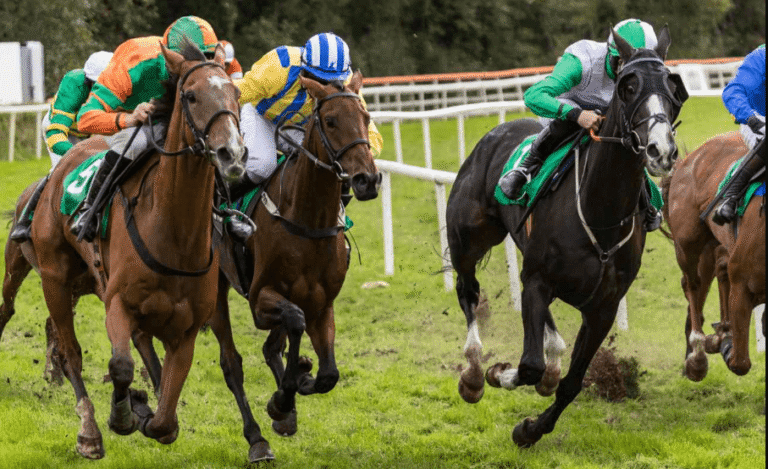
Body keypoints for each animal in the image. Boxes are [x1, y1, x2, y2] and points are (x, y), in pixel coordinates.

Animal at [0, 40, 245, 459]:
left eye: (237, 94)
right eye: (191, 96)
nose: (232, 153)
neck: (174, 232)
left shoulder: (186, 330)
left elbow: (165, 417)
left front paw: (146, 409)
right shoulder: (117, 303)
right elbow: (120, 366)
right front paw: (121, 416)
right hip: (49, 276)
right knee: (62, 345)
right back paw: (89, 430)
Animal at [203, 70, 380, 462]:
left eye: (366, 117)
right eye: (330, 121)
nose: (367, 180)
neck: (307, 220)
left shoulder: (322, 304)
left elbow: (328, 374)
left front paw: (298, 382)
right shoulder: (260, 299)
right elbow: (293, 323)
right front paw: (283, 400)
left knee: (273, 347)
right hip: (215, 289)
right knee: (231, 363)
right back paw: (257, 439)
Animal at [446, 26, 683, 447]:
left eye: (672, 86)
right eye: (628, 86)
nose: (661, 150)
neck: (600, 212)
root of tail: (496, 131)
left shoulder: (603, 307)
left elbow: (571, 383)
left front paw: (530, 429)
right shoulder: (538, 280)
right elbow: (528, 365)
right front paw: (497, 374)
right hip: (468, 240)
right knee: (467, 290)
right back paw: (473, 371)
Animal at [663, 132, 765, 381]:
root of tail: (690, 158)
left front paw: (723, 334)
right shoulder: (742, 286)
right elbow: (740, 363)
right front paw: (722, 342)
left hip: (715, 245)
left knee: (718, 269)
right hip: (688, 243)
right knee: (693, 285)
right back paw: (697, 356)